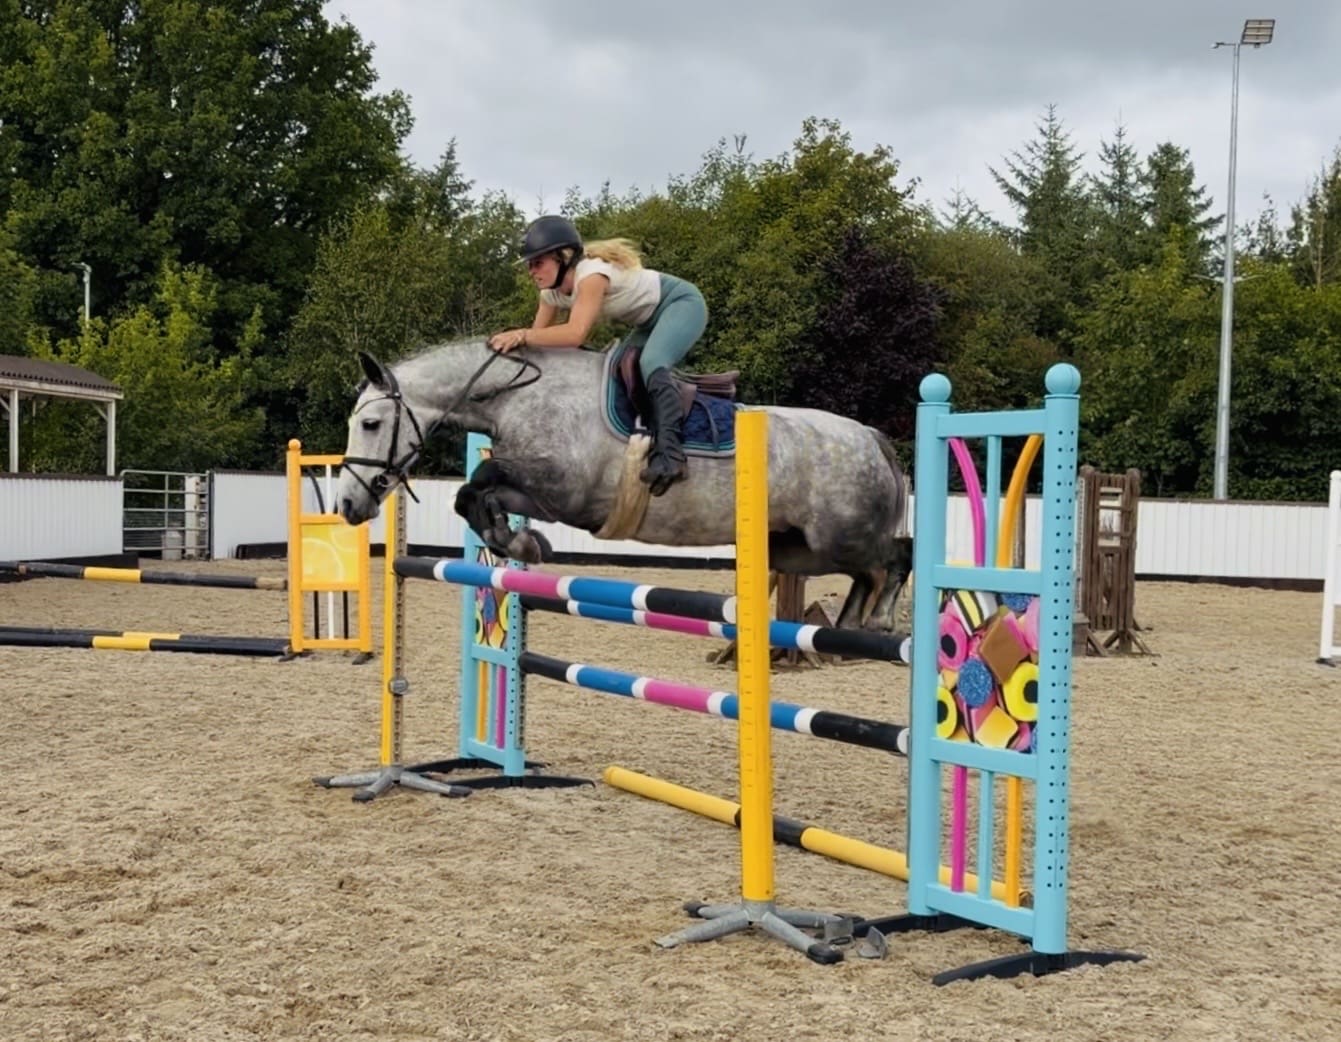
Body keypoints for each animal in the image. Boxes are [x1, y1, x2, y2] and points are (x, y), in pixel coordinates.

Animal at [335, 338, 912, 631]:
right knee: (868, 573)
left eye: (371, 424)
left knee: (894, 558)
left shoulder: (563, 490)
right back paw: (848, 624)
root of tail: (870, 438)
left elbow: (483, 480)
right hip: (798, 550)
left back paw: (880, 622)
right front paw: (519, 541)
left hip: (836, 537)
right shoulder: (548, 495)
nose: (346, 505)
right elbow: (472, 494)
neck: (517, 395)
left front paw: (522, 542)